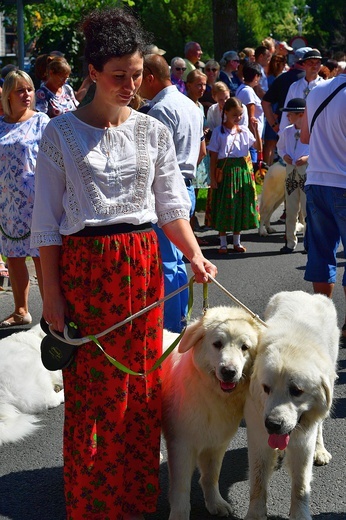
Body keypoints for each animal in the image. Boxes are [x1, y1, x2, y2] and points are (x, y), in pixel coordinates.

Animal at [162, 306, 262, 520]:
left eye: (244, 347)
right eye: (217, 344)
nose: (229, 371)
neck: (211, 394)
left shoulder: (216, 443)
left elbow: (210, 476)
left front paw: (215, 503)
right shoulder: (181, 445)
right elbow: (181, 488)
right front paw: (180, 514)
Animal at [245, 292, 340, 520]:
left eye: (296, 391)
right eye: (266, 388)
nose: (272, 424)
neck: (293, 343)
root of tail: (305, 293)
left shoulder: (303, 439)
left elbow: (300, 484)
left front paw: (300, 514)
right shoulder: (257, 431)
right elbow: (258, 479)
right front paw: (255, 514)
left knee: (320, 426)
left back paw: (320, 450)